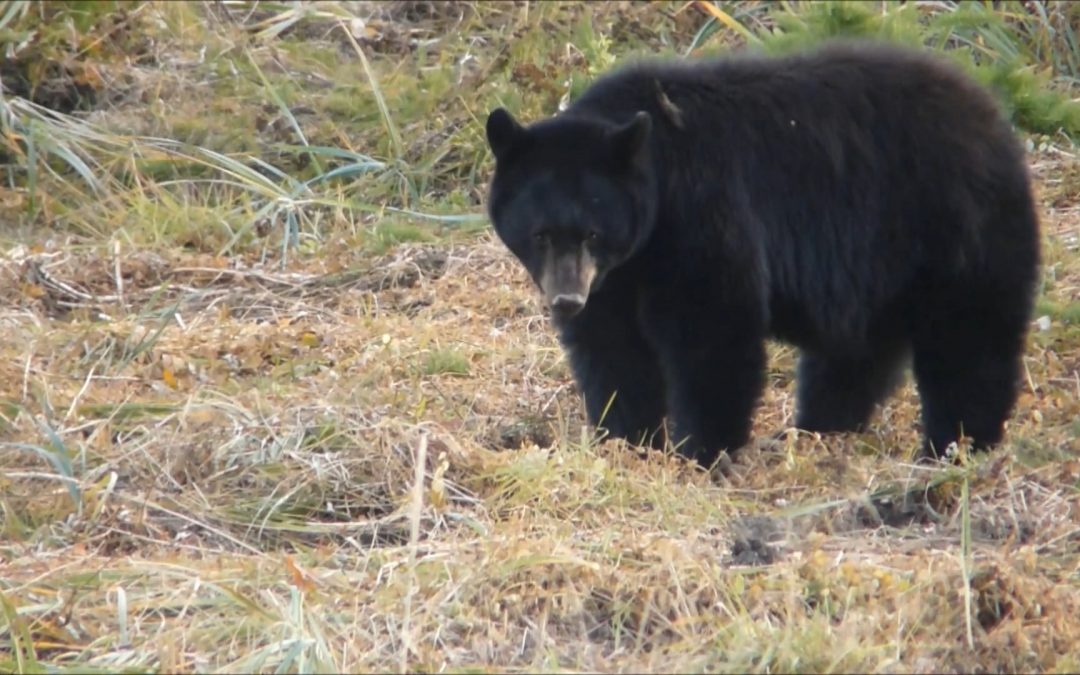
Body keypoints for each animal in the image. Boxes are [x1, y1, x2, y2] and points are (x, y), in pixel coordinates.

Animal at [484, 40, 1041, 469]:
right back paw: (821, 429)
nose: (566, 299)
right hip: (877, 266)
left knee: (969, 342)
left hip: (953, 227)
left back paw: (954, 446)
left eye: (592, 233)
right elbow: (612, 348)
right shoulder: (618, 277)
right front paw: (627, 440)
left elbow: (711, 328)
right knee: (854, 352)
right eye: (540, 234)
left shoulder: (703, 214)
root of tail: (994, 117)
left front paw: (703, 451)